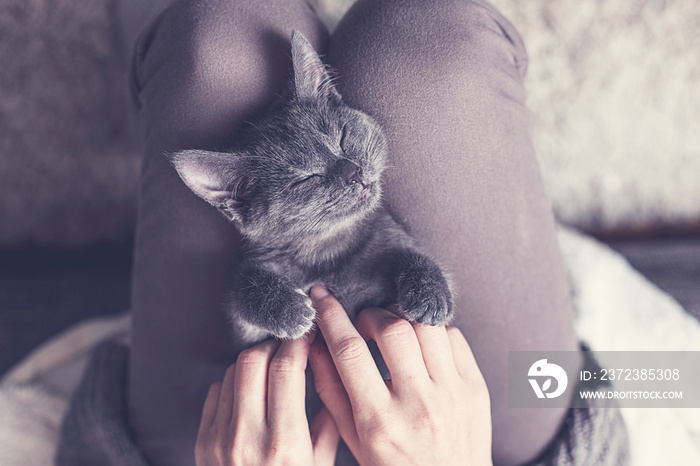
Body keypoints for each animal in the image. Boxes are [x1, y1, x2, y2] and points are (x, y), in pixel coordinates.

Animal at [172, 31, 452, 340]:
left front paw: (430, 293)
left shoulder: (389, 234)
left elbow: (415, 253)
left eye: (343, 137)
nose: (353, 173)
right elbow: (242, 288)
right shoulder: (247, 332)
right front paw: (288, 308)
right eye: (307, 178)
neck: (329, 250)